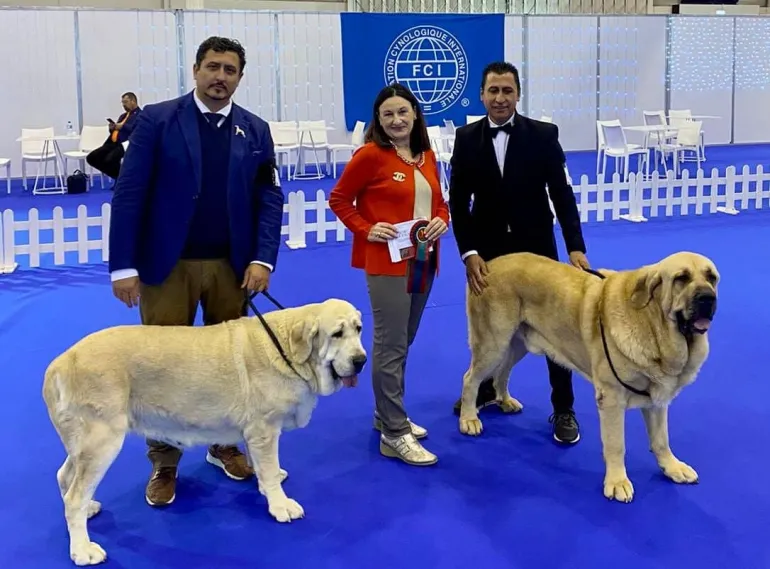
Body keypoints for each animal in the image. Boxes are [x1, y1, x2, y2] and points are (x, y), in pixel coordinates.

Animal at [43, 298, 368, 564]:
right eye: (337, 334)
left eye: (358, 329)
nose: (361, 360)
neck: (288, 348)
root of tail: (59, 363)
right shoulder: (264, 430)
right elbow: (269, 470)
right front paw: (280, 505)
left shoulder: (255, 434)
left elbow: (264, 469)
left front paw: (267, 485)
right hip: (102, 442)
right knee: (73, 497)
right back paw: (82, 550)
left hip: (83, 444)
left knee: (65, 478)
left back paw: (88, 511)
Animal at [456, 251, 712, 504]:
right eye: (681, 278)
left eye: (712, 278)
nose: (708, 298)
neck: (651, 322)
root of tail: (489, 264)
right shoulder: (611, 398)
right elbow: (616, 444)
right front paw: (617, 482)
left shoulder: (656, 398)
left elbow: (661, 439)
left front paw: (672, 467)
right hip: (494, 342)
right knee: (470, 378)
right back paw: (468, 419)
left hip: (516, 343)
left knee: (502, 372)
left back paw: (505, 401)